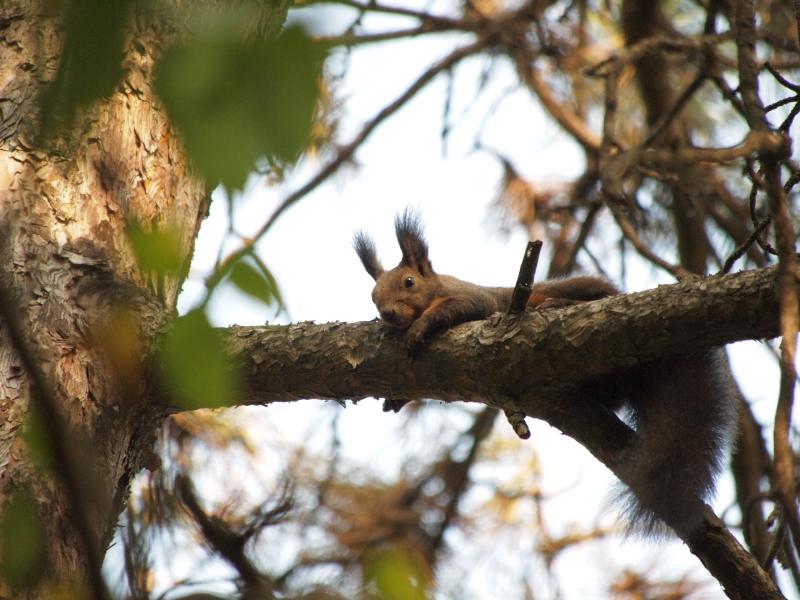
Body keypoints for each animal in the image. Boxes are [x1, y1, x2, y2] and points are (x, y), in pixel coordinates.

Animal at [356, 211, 736, 540]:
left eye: (409, 282)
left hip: (579, 290)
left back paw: (556, 305)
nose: (388, 314)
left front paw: (420, 327)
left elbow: (455, 309)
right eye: (372, 297)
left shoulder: (472, 299)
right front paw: (395, 398)